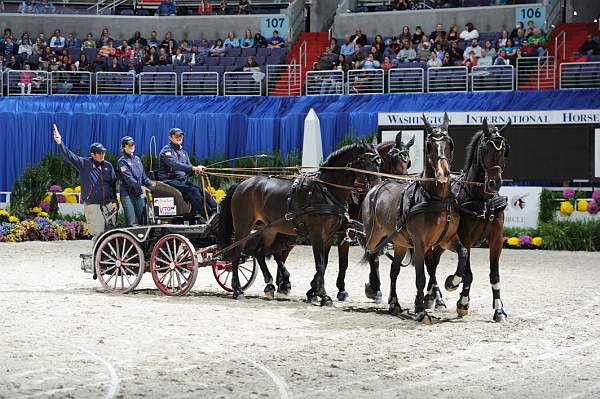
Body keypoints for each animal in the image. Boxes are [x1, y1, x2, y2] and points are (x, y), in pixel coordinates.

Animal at [218, 141, 382, 306]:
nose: (377, 189)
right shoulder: (317, 234)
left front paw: (313, 292)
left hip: (269, 229)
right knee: (237, 253)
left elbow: (325, 263)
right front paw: (324, 296)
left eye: (379, 162)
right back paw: (238, 290)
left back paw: (270, 285)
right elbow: (320, 264)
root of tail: (242, 184)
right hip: (243, 225)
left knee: (259, 252)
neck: (326, 190)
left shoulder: (329, 236)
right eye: (371, 162)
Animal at [360, 114, 468, 324]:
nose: (443, 173)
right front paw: (421, 310)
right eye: (429, 145)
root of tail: (376, 187)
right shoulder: (420, 244)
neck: (436, 199)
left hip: (400, 243)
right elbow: (421, 277)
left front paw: (453, 281)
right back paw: (375, 288)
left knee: (394, 270)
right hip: (374, 234)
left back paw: (394, 303)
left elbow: (463, 254)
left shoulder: (447, 239)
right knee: (372, 254)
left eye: (448, 144)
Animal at [422, 118, 510, 322]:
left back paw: (435, 298)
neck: (483, 201)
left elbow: (495, 276)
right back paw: (432, 296)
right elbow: (467, 274)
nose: (494, 183)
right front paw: (462, 303)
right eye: (485, 149)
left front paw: (499, 310)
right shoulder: (466, 240)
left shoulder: (496, 241)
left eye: (504, 150)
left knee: (434, 261)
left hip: (443, 242)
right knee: (431, 264)